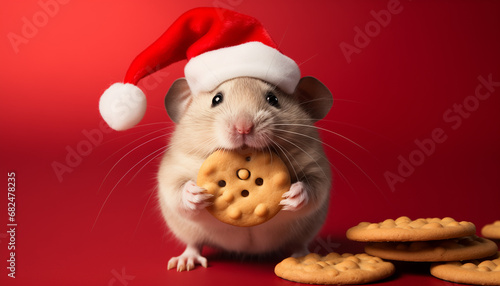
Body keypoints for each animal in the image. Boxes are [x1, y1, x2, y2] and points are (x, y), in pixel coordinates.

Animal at [158, 75, 334, 270]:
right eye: (216, 99)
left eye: (273, 99)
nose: (243, 128)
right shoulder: (174, 168)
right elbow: (176, 192)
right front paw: (194, 193)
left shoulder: (316, 165)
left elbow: (314, 189)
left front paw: (295, 194)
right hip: (187, 231)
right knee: (193, 244)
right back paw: (185, 261)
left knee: (299, 244)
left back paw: (304, 258)